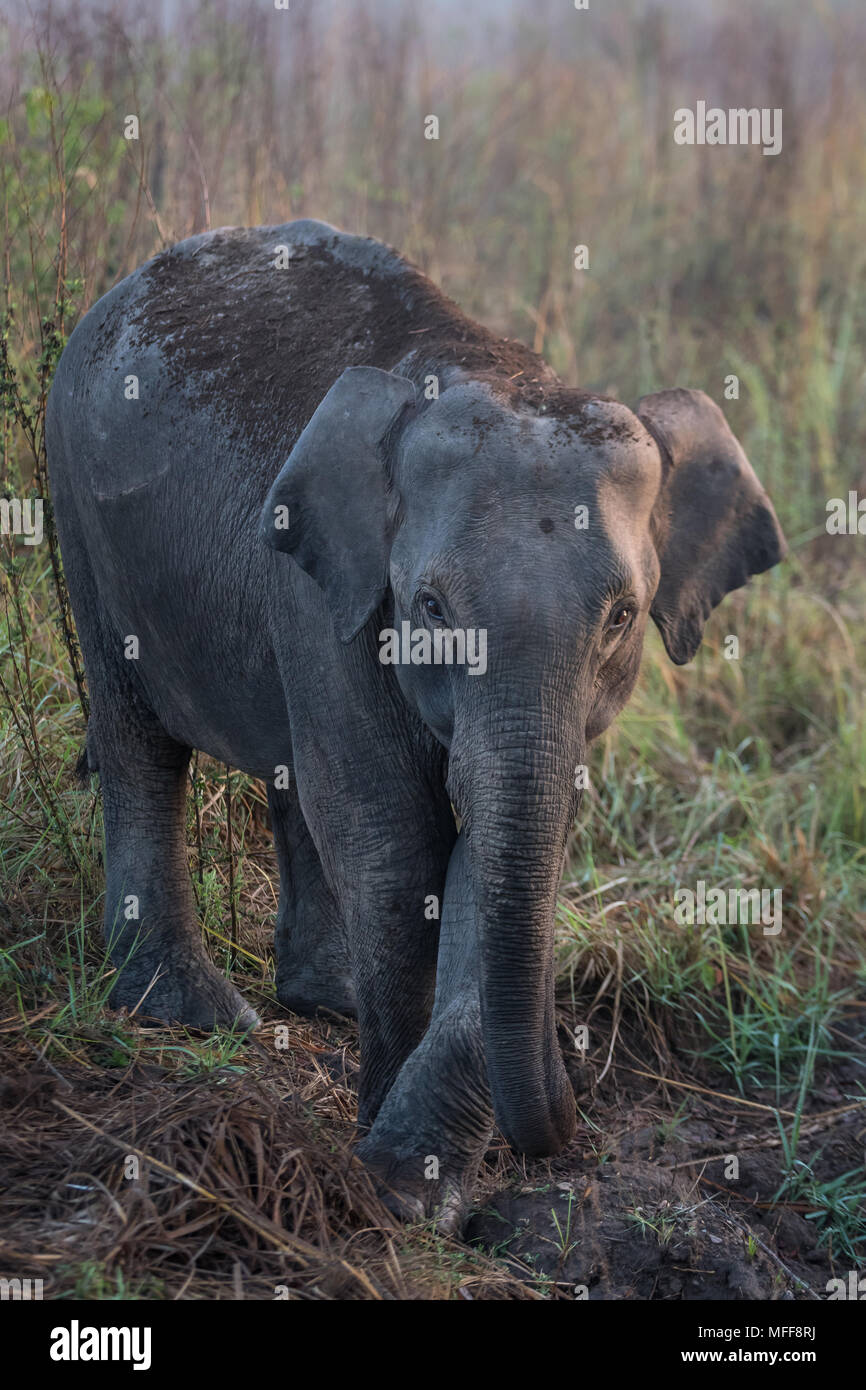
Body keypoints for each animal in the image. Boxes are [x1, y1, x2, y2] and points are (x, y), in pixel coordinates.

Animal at [45, 222, 783, 1234]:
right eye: (431, 607)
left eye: (623, 617)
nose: (564, 1112)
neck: (497, 364)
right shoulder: (321, 591)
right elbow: (394, 837)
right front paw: (392, 1185)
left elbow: (495, 849)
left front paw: (415, 1175)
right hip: (82, 514)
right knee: (141, 744)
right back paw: (192, 1012)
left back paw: (324, 998)